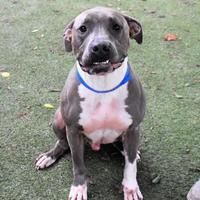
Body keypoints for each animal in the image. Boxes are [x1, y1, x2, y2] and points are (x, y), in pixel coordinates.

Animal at [35, 6, 145, 200]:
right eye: (83, 28)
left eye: (116, 27)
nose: (100, 47)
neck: (103, 84)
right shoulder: (73, 130)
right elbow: (78, 164)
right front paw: (79, 188)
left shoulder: (133, 128)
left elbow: (130, 165)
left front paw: (131, 188)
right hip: (58, 119)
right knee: (62, 143)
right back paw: (49, 156)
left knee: (122, 146)